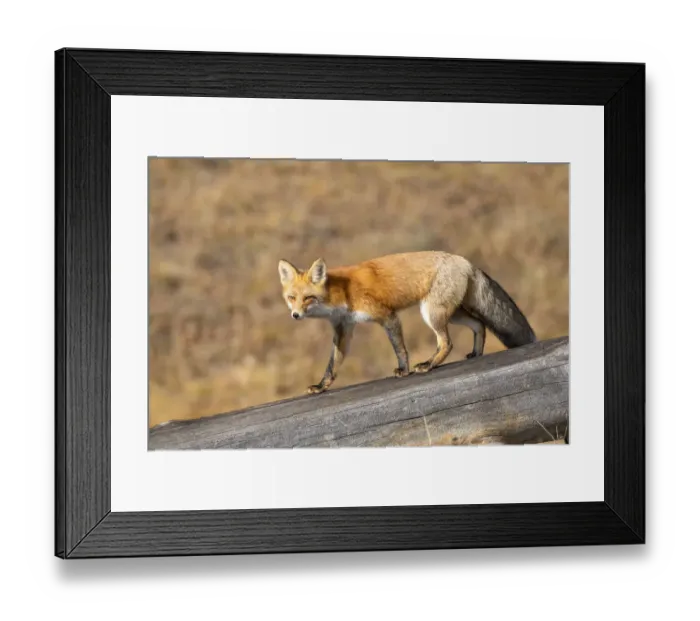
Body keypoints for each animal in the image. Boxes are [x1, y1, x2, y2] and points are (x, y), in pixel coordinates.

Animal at [277, 250, 536, 395]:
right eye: (291, 298)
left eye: (308, 298)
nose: (295, 315)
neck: (342, 293)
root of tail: (464, 260)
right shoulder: (343, 329)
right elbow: (332, 365)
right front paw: (321, 386)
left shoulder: (387, 316)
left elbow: (400, 349)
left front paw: (403, 370)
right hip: (451, 313)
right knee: (479, 325)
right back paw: (475, 353)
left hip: (431, 313)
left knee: (447, 342)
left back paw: (429, 364)